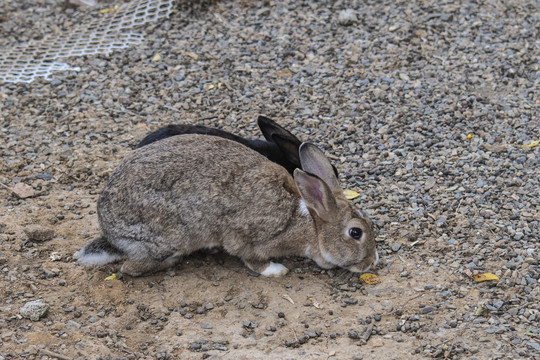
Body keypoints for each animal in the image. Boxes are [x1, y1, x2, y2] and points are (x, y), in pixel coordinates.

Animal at [78, 135, 378, 276]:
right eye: (356, 233)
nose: (373, 262)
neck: (310, 225)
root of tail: (109, 232)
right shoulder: (247, 237)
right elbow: (252, 260)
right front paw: (276, 270)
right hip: (166, 236)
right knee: (129, 268)